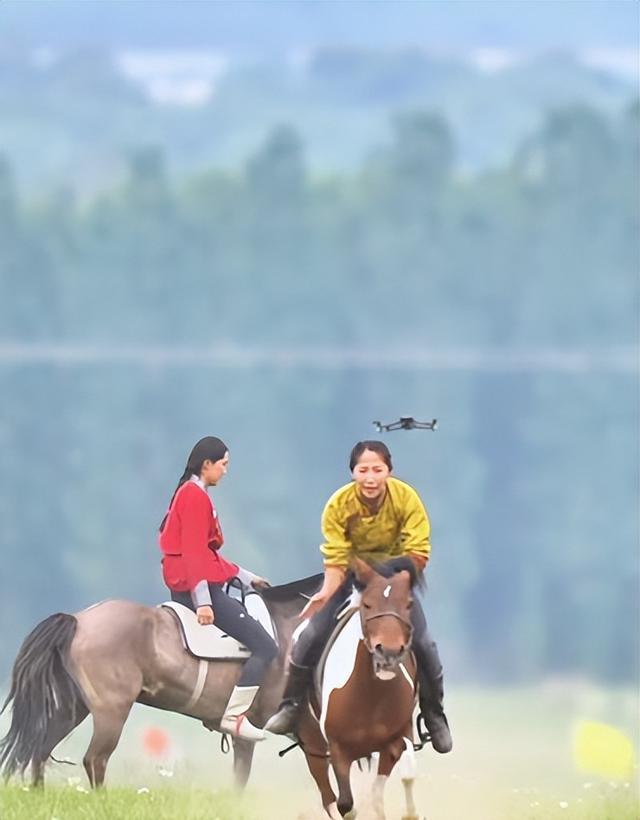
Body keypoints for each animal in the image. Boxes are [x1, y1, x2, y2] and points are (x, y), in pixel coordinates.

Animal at [296, 560, 418, 820]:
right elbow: (346, 805)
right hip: (314, 748)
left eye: (408, 604)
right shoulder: (339, 749)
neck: (369, 694)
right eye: (368, 604)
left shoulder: (397, 738)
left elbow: (400, 779)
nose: (389, 652)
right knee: (329, 798)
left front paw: (410, 812)